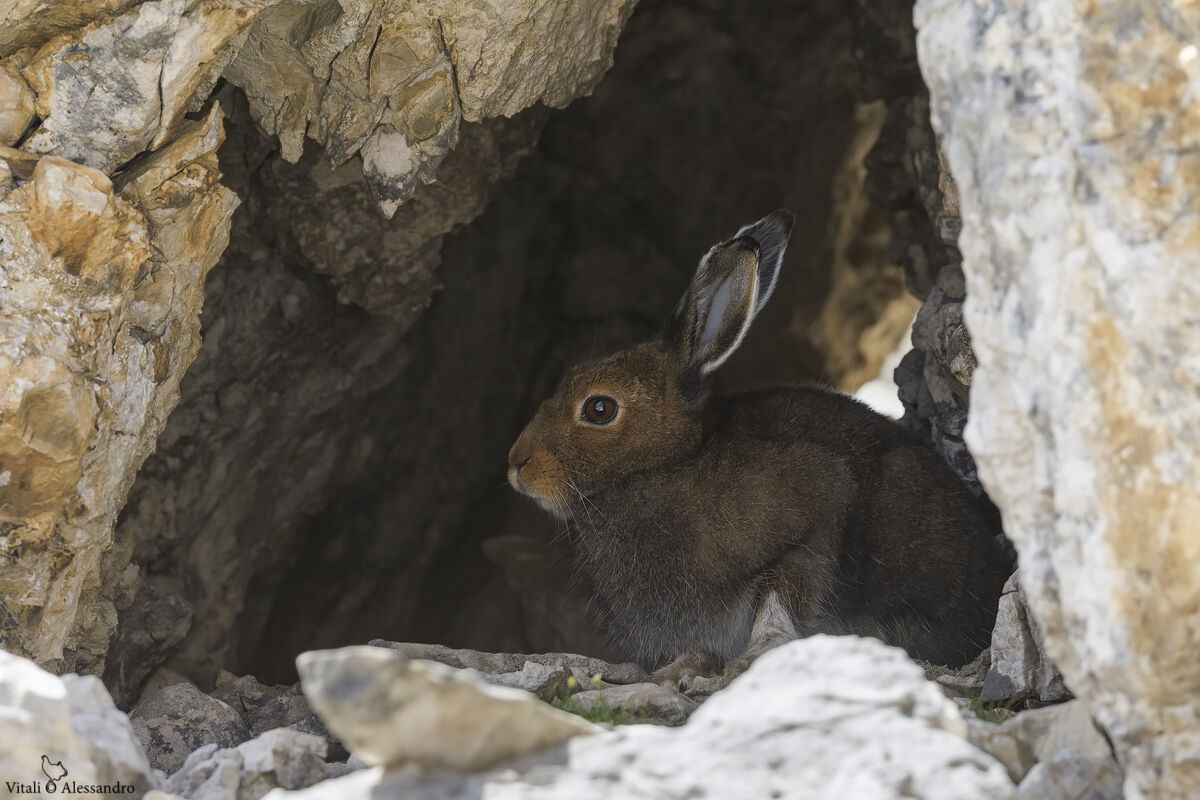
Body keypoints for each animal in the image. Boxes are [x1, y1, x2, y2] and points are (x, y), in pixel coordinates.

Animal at [507, 210, 1009, 687]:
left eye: (599, 408)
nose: (516, 465)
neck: (668, 462)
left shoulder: (818, 503)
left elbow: (781, 597)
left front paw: (751, 658)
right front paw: (677, 670)